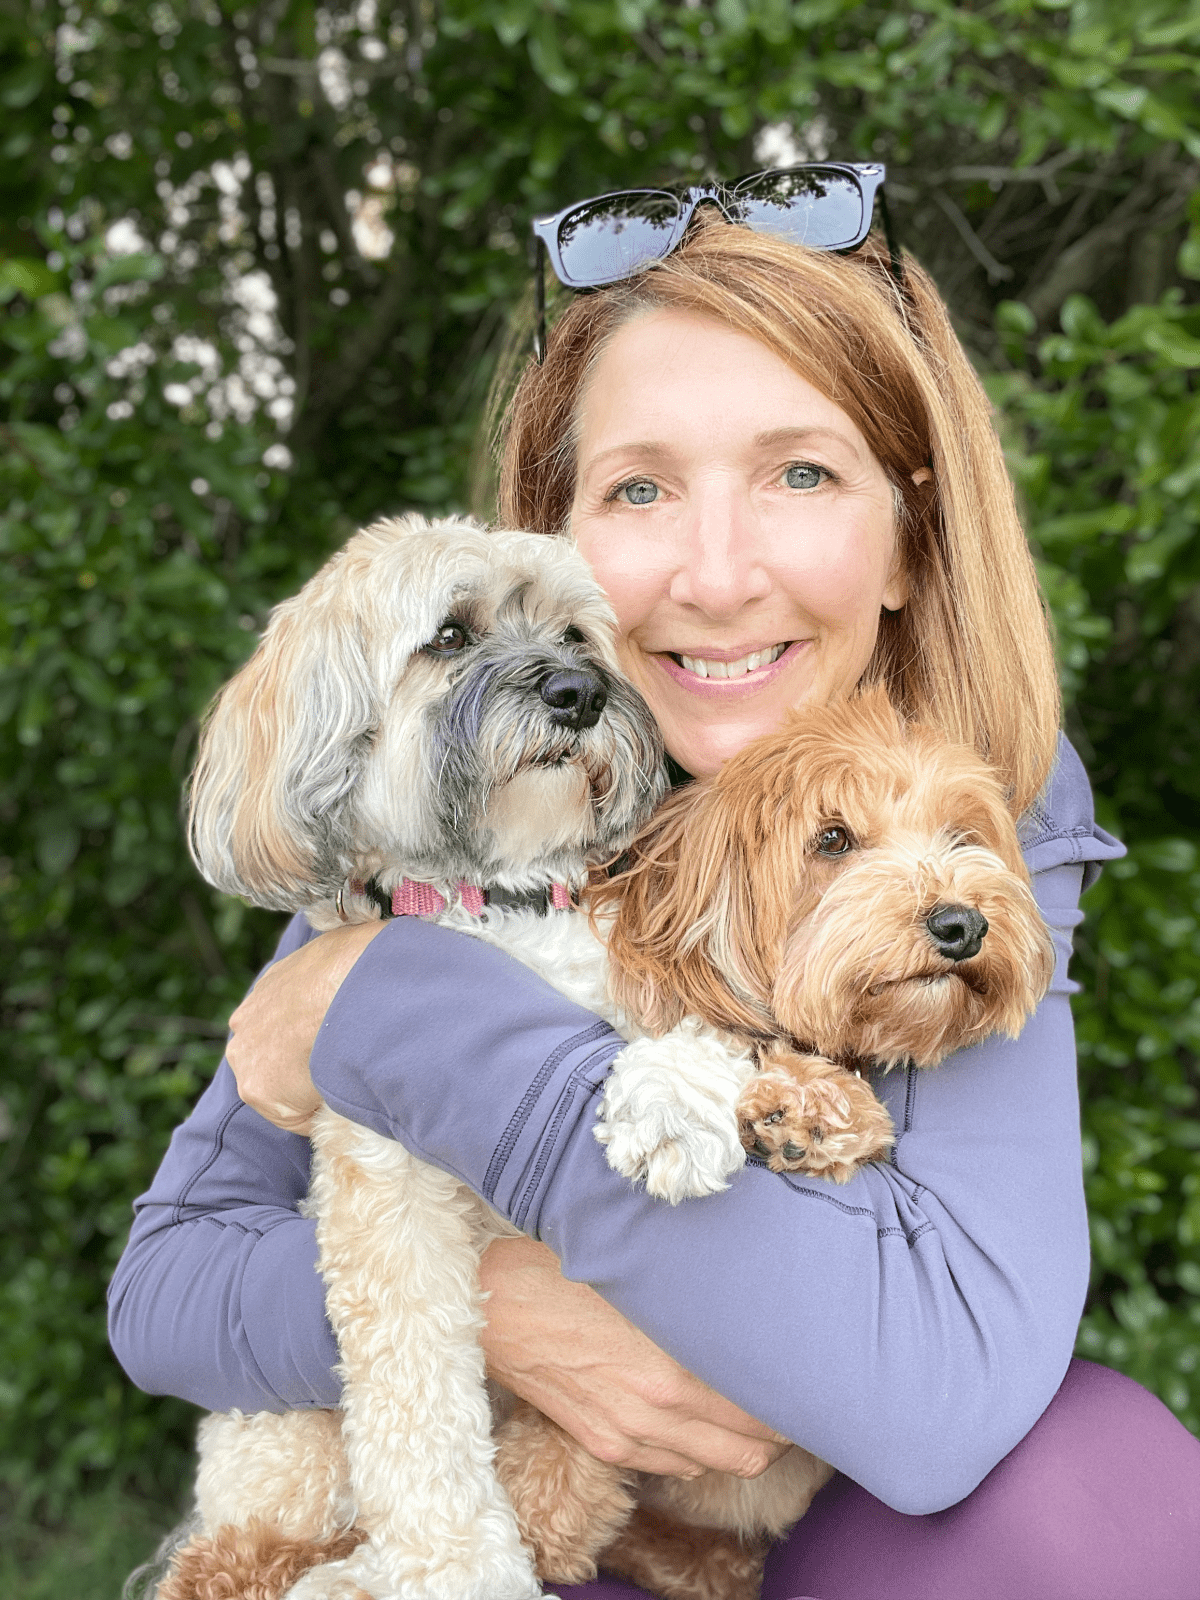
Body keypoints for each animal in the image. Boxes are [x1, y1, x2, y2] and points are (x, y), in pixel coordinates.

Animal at [162, 515, 761, 1600]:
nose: (578, 694)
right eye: (448, 635)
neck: (504, 904)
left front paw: (677, 1104)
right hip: (280, 1442)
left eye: (575, 634)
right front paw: (457, 1567)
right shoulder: (387, 1197)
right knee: (240, 1549)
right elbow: (416, 1397)